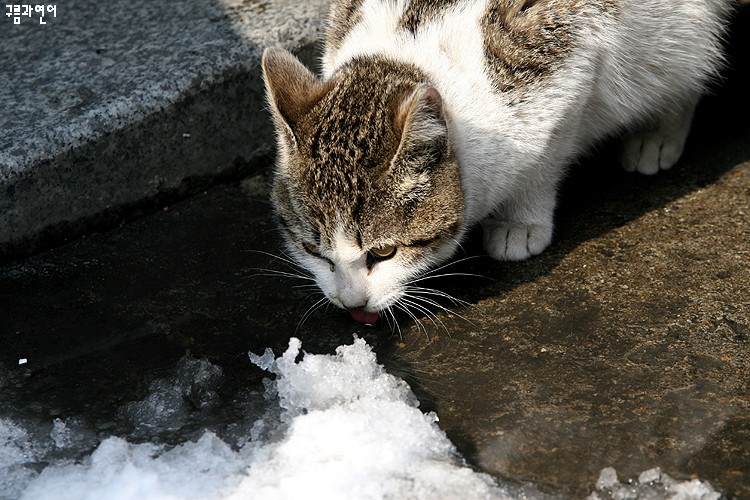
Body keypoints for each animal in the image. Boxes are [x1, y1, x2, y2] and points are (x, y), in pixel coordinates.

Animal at [262, 0, 736, 324]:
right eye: (312, 250)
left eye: (383, 252)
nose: (350, 302)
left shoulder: (571, 69)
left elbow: (547, 157)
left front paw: (519, 221)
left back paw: (661, 130)